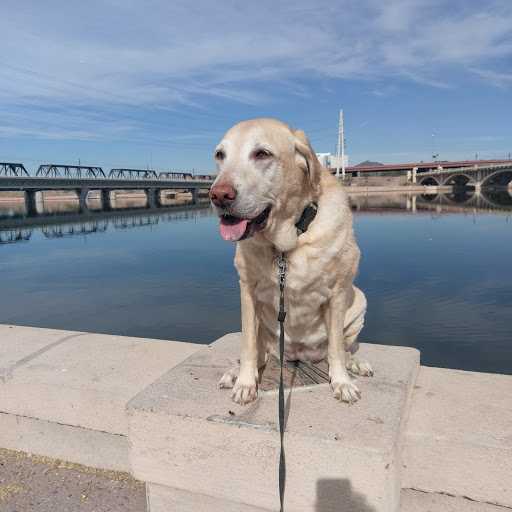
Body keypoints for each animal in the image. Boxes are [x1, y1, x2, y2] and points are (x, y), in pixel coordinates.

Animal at [208, 118, 372, 406]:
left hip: (359, 302)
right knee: (259, 352)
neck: (288, 244)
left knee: (342, 348)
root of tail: (297, 354)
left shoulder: (338, 292)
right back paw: (236, 372)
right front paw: (245, 382)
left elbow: (337, 349)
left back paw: (355, 363)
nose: (218, 195)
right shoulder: (248, 291)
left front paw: (342, 383)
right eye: (220, 155)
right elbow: (248, 345)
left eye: (262, 154)